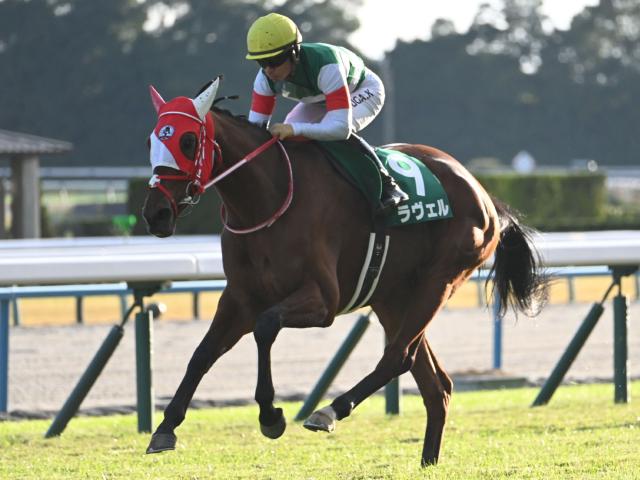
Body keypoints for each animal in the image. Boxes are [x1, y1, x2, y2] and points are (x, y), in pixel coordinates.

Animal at [141, 77, 548, 466]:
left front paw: (271, 415)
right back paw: (427, 460)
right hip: (392, 296)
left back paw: (329, 411)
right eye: (152, 140)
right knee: (436, 384)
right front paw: (165, 428)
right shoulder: (240, 298)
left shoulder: (323, 301)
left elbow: (266, 326)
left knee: (399, 357)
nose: (155, 212)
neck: (268, 201)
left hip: (440, 279)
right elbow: (202, 354)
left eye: (188, 141)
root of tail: (482, 192)